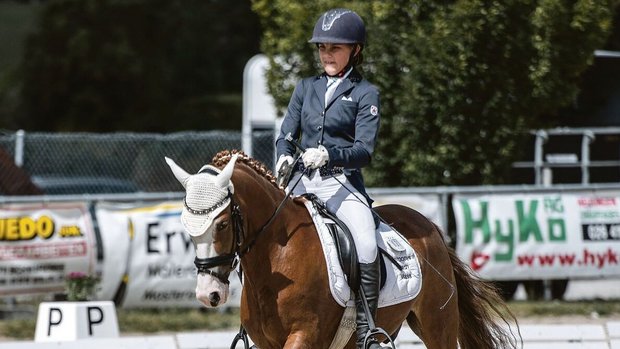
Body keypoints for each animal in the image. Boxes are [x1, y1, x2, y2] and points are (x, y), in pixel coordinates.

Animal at [167, 150, 520, 348]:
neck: (278, 256)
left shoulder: (304, 336)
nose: (208, 294)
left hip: (437, 323)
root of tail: (430, 225)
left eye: (223, 224)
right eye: (187, 228)